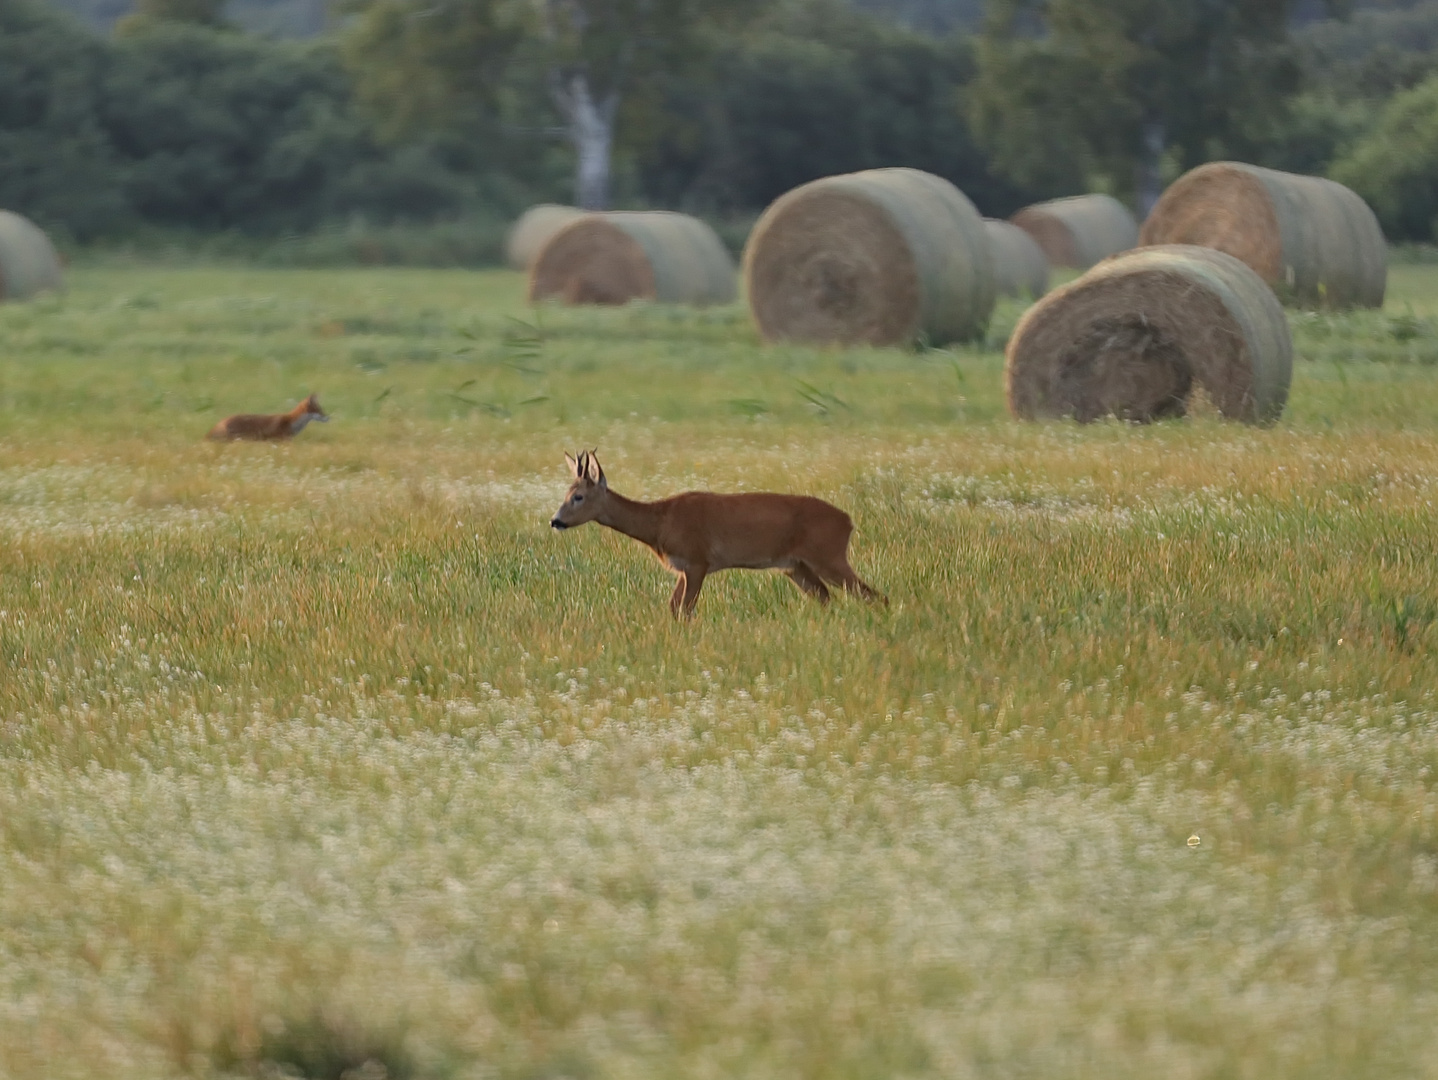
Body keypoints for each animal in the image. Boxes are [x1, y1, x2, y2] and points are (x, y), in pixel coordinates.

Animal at [549, 448, 885, 615]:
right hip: (796, 567)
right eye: (566, 492)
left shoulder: (698, 561)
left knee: (874, 596)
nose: (555, 520)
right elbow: (672, 608)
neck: (659, 522)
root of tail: (848, 521)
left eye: (579, 496)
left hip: (828, 555)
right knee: (828, 598)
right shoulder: (684, 568)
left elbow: (685, 609)